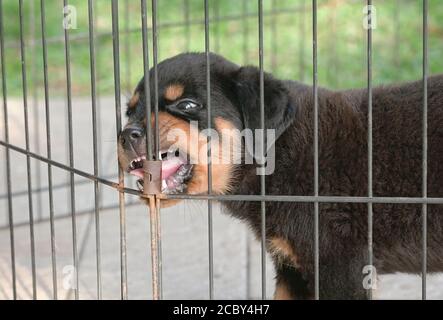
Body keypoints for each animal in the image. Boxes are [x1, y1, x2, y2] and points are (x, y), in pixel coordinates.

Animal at [118, 52, 443, 300]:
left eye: (186, 105)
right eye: (130, 112)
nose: (126, 135)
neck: (278, 149)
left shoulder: (341, 266)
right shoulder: (293, 267)